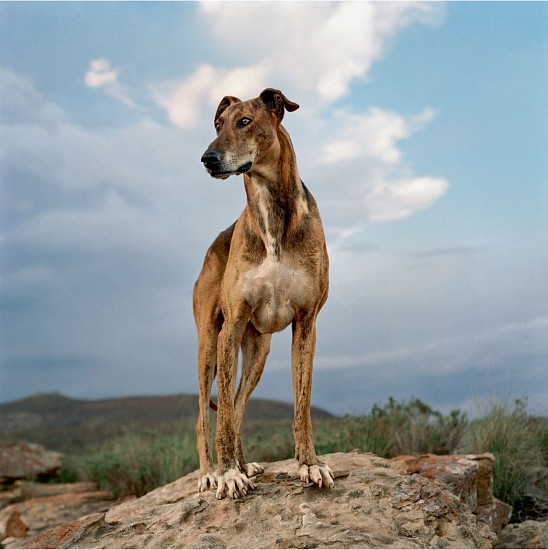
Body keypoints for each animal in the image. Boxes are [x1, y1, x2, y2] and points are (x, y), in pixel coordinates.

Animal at [195, 88, 332, 502]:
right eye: (218, 124)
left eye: (245, 121)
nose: (208, 159)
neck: (270, 208)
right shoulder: (231, 326)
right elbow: (222, 417)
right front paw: (228, 475)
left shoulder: (306, 324)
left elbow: (302, 405)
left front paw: (309, 465)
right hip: (210, 345)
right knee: (207, 416)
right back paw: (211, 473)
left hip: (257, 351)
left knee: (238, 405)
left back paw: (244, 464)